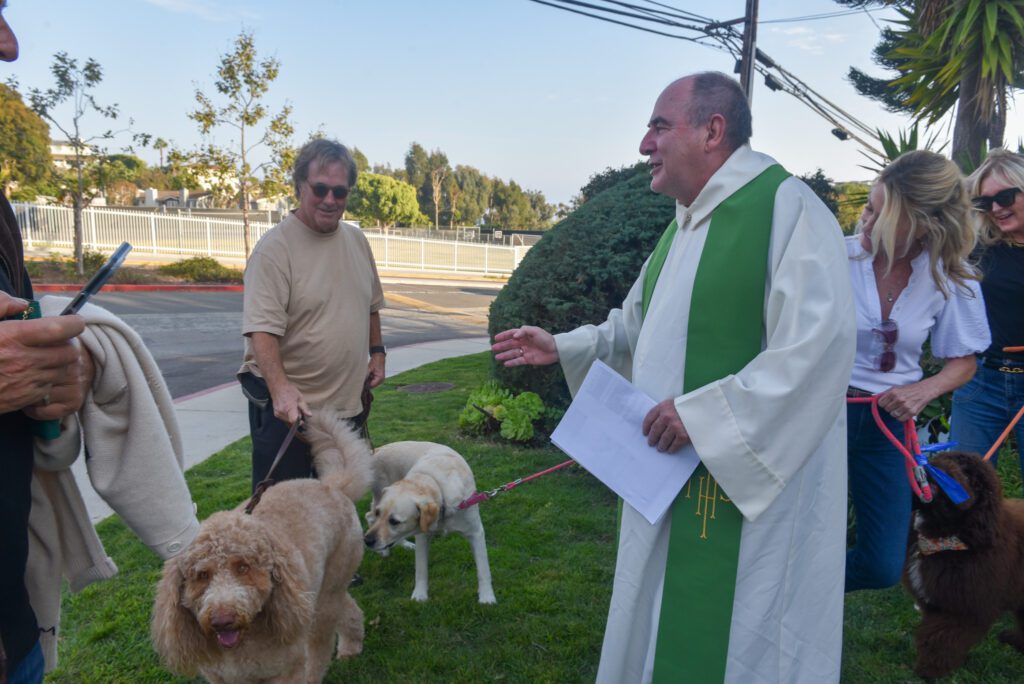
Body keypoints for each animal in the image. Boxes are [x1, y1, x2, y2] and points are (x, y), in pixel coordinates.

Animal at [149, 411, 374, 684]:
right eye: (201, 575)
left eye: (243, 567)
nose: (222, 620)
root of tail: (332, 485)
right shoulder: (219, 677)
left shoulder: (286, 669)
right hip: (322, 593)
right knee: (347, 608)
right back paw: (352, 645)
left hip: (326, 592)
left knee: (319, 646)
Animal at [909, 448, 1024, 679]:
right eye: (947, 458)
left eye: (969, 475)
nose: (940, 469)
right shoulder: (937, 601)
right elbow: (930, 631)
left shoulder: (965, 606)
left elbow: (942, 638)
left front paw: (930, 669)